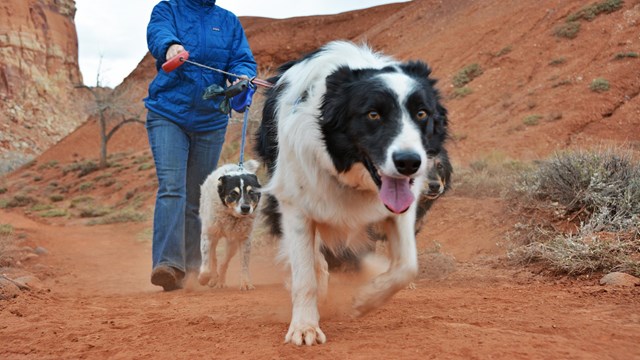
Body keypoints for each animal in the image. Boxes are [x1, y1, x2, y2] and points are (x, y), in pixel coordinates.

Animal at [252, 41, 448, 346]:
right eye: (373, 115)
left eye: (422, 113)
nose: (409, 163)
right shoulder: (294, 203)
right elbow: (305, 274)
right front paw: (304, 327)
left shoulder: (401, 208)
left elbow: (406, 266)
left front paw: (365, 299)